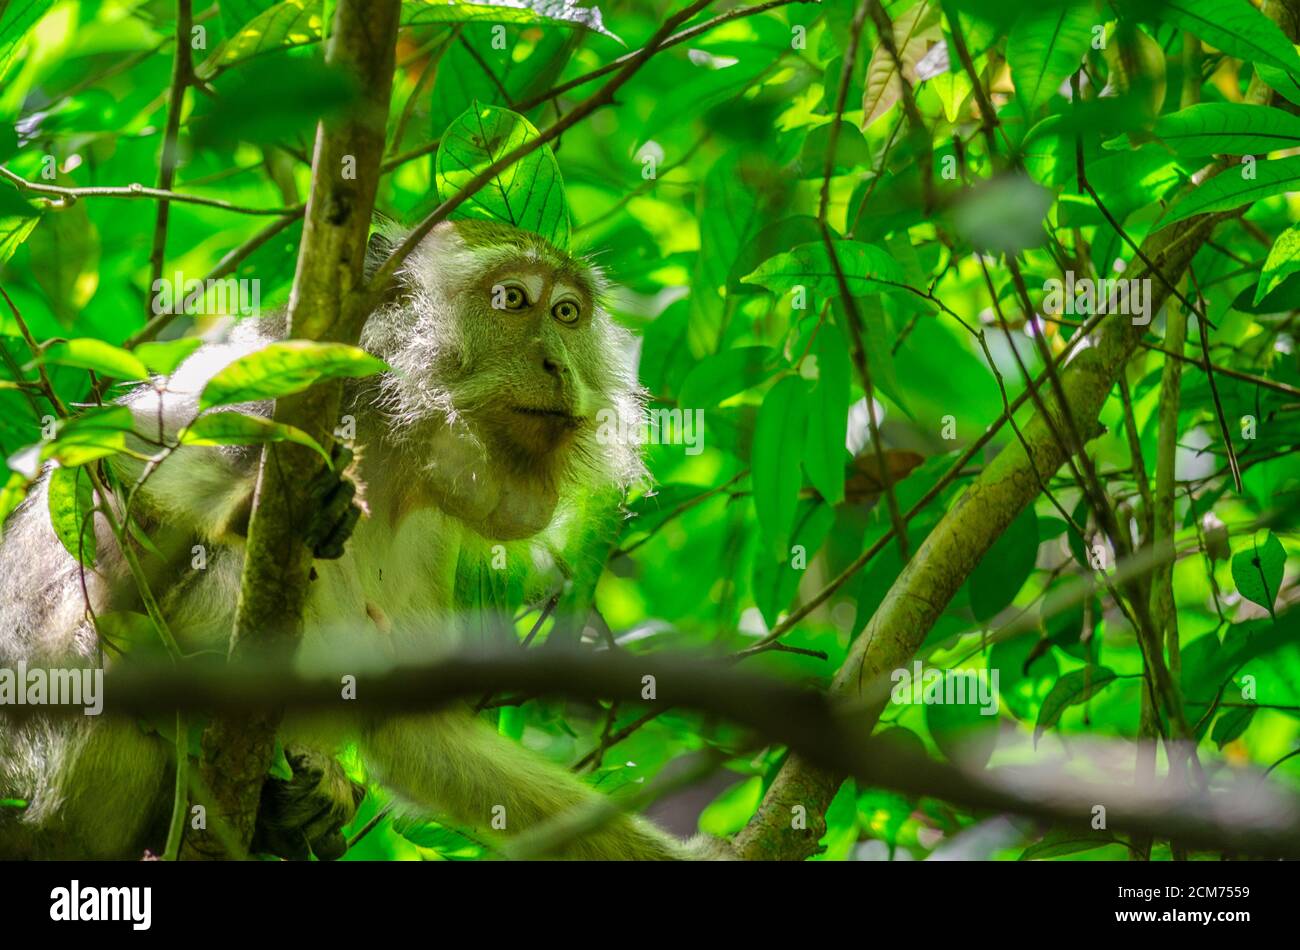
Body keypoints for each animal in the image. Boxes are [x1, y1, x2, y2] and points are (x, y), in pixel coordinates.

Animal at [0, 220, 717, 862]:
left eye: (568, 314)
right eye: (513, 300)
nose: (558, 363)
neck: (394, 441)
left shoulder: (429, 530)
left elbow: (414, 728)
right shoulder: (293, 387)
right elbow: (116, 455)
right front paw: (247, 507)